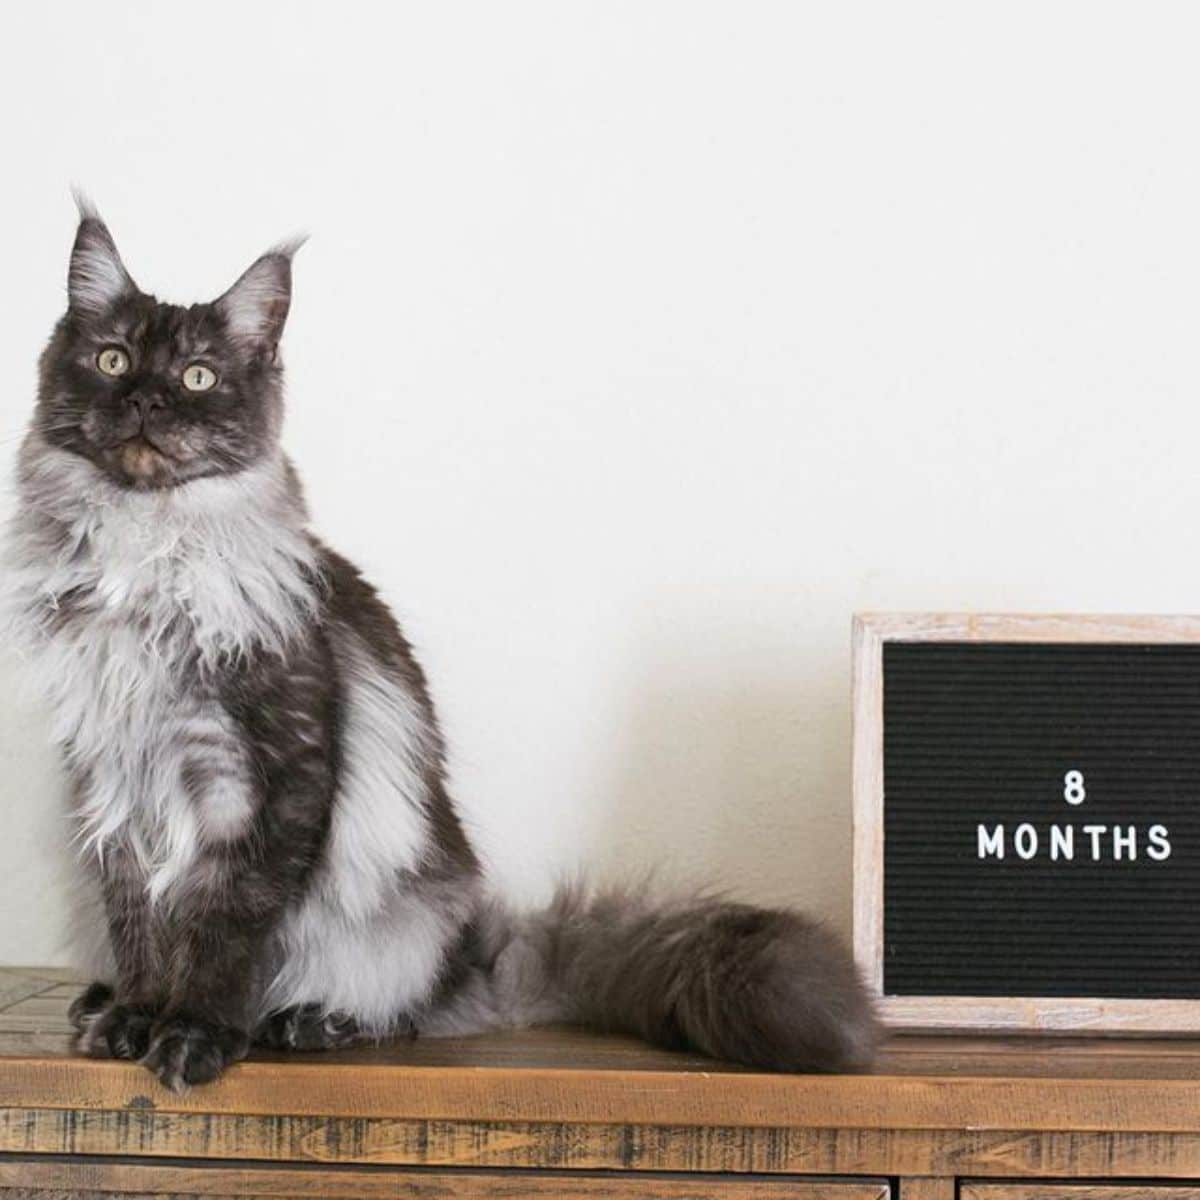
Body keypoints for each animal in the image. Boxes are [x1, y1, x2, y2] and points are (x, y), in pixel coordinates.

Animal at [2, 201, 883, 1094]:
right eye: (112, 360)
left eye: (198, 378)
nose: (146, 400)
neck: (145, 563)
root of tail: (479, 956)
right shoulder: (112, 786)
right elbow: (141, 927)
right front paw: (134, 1020)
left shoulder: (267, 778)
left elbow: (223, 933)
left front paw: (194, 1034)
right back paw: (97, 1001)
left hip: (402, 913)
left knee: (411, 1010)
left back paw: (314, 1021)